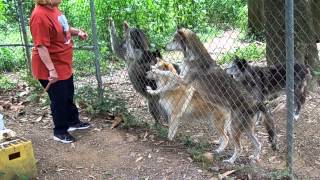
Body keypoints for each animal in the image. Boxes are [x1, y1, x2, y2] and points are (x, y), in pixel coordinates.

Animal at [150, 27, 278, 163]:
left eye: (174, 40)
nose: (163, 46)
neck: (193, 57)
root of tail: (255, 102)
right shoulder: (182, 79)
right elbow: (166, 83)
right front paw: (154, 90)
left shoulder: (184, 80)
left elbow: (168, 73)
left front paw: (156, 70)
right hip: (246, 130)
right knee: (258, 144)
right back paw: (254, 158)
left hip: (233, 128)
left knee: (239, 147)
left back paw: (230, 161)